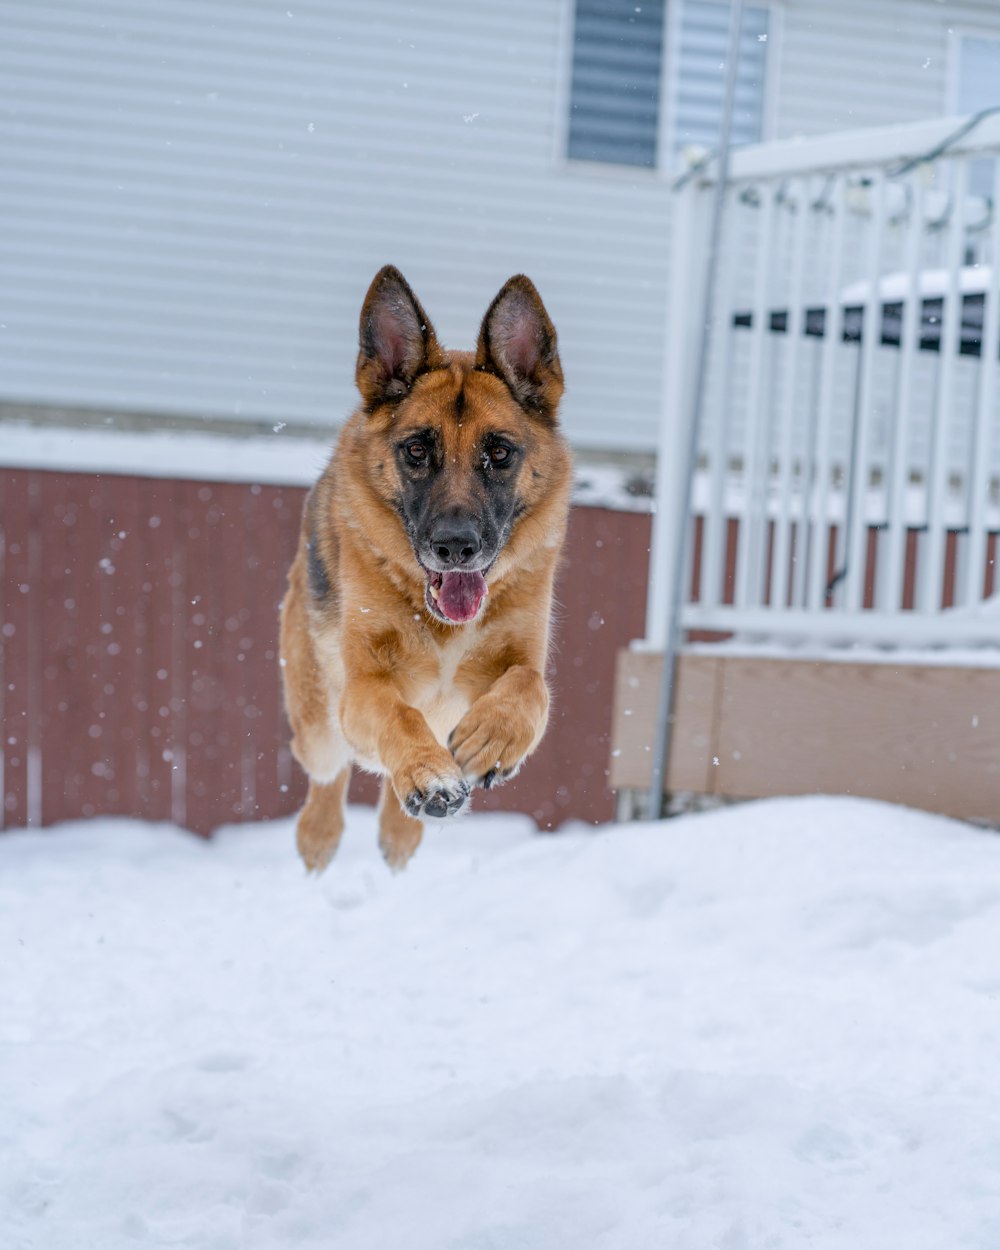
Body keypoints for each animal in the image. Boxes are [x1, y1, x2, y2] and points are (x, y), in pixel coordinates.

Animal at [277, 263, 575, 870]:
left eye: (499, 454)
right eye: (417, 451)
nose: (455, 547)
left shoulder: (521, 658)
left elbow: (530, 685)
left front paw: (492, 739)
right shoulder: (364, 686)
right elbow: (399, 715)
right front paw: (428, 776)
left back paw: (402, 830)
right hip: (318, 722)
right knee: (328, 768)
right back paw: (321, 834)